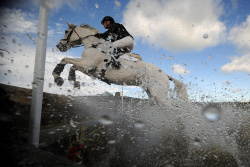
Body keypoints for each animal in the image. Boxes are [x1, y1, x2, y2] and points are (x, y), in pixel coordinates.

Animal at [53, 21, 188, 106]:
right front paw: (73, 82)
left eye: (66, 31)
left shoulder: (88, 64)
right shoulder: (90, 70)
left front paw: (57, 78)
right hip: (152, 93)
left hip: (159, 94)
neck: (94, 45)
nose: (59, 46)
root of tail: (165, 75)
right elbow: (73, 66)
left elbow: (65, 60)